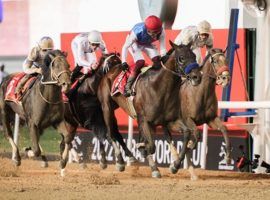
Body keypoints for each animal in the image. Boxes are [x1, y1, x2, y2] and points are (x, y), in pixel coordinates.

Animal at [98, 41, 201, 178]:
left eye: (194, 56)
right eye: (181, 58)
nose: (197, 77)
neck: (159, 87)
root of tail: (112, 68)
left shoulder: (169, 121)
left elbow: (186, 133)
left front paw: (175, 165)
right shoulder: (144, 120)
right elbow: (151, 146)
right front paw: (146, 155)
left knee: (116, 134)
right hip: (107, 107)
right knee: (110, 134)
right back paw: (120, 161)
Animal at [166, 48, 231, 180]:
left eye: (226, 59)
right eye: (215, 61)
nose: (226, 78)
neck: (201, 93)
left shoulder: (211, 119)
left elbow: (224, 129)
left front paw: (227, 157)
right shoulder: (188, 120)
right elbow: (196, 134)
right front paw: (189, 147)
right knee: (168, 137)